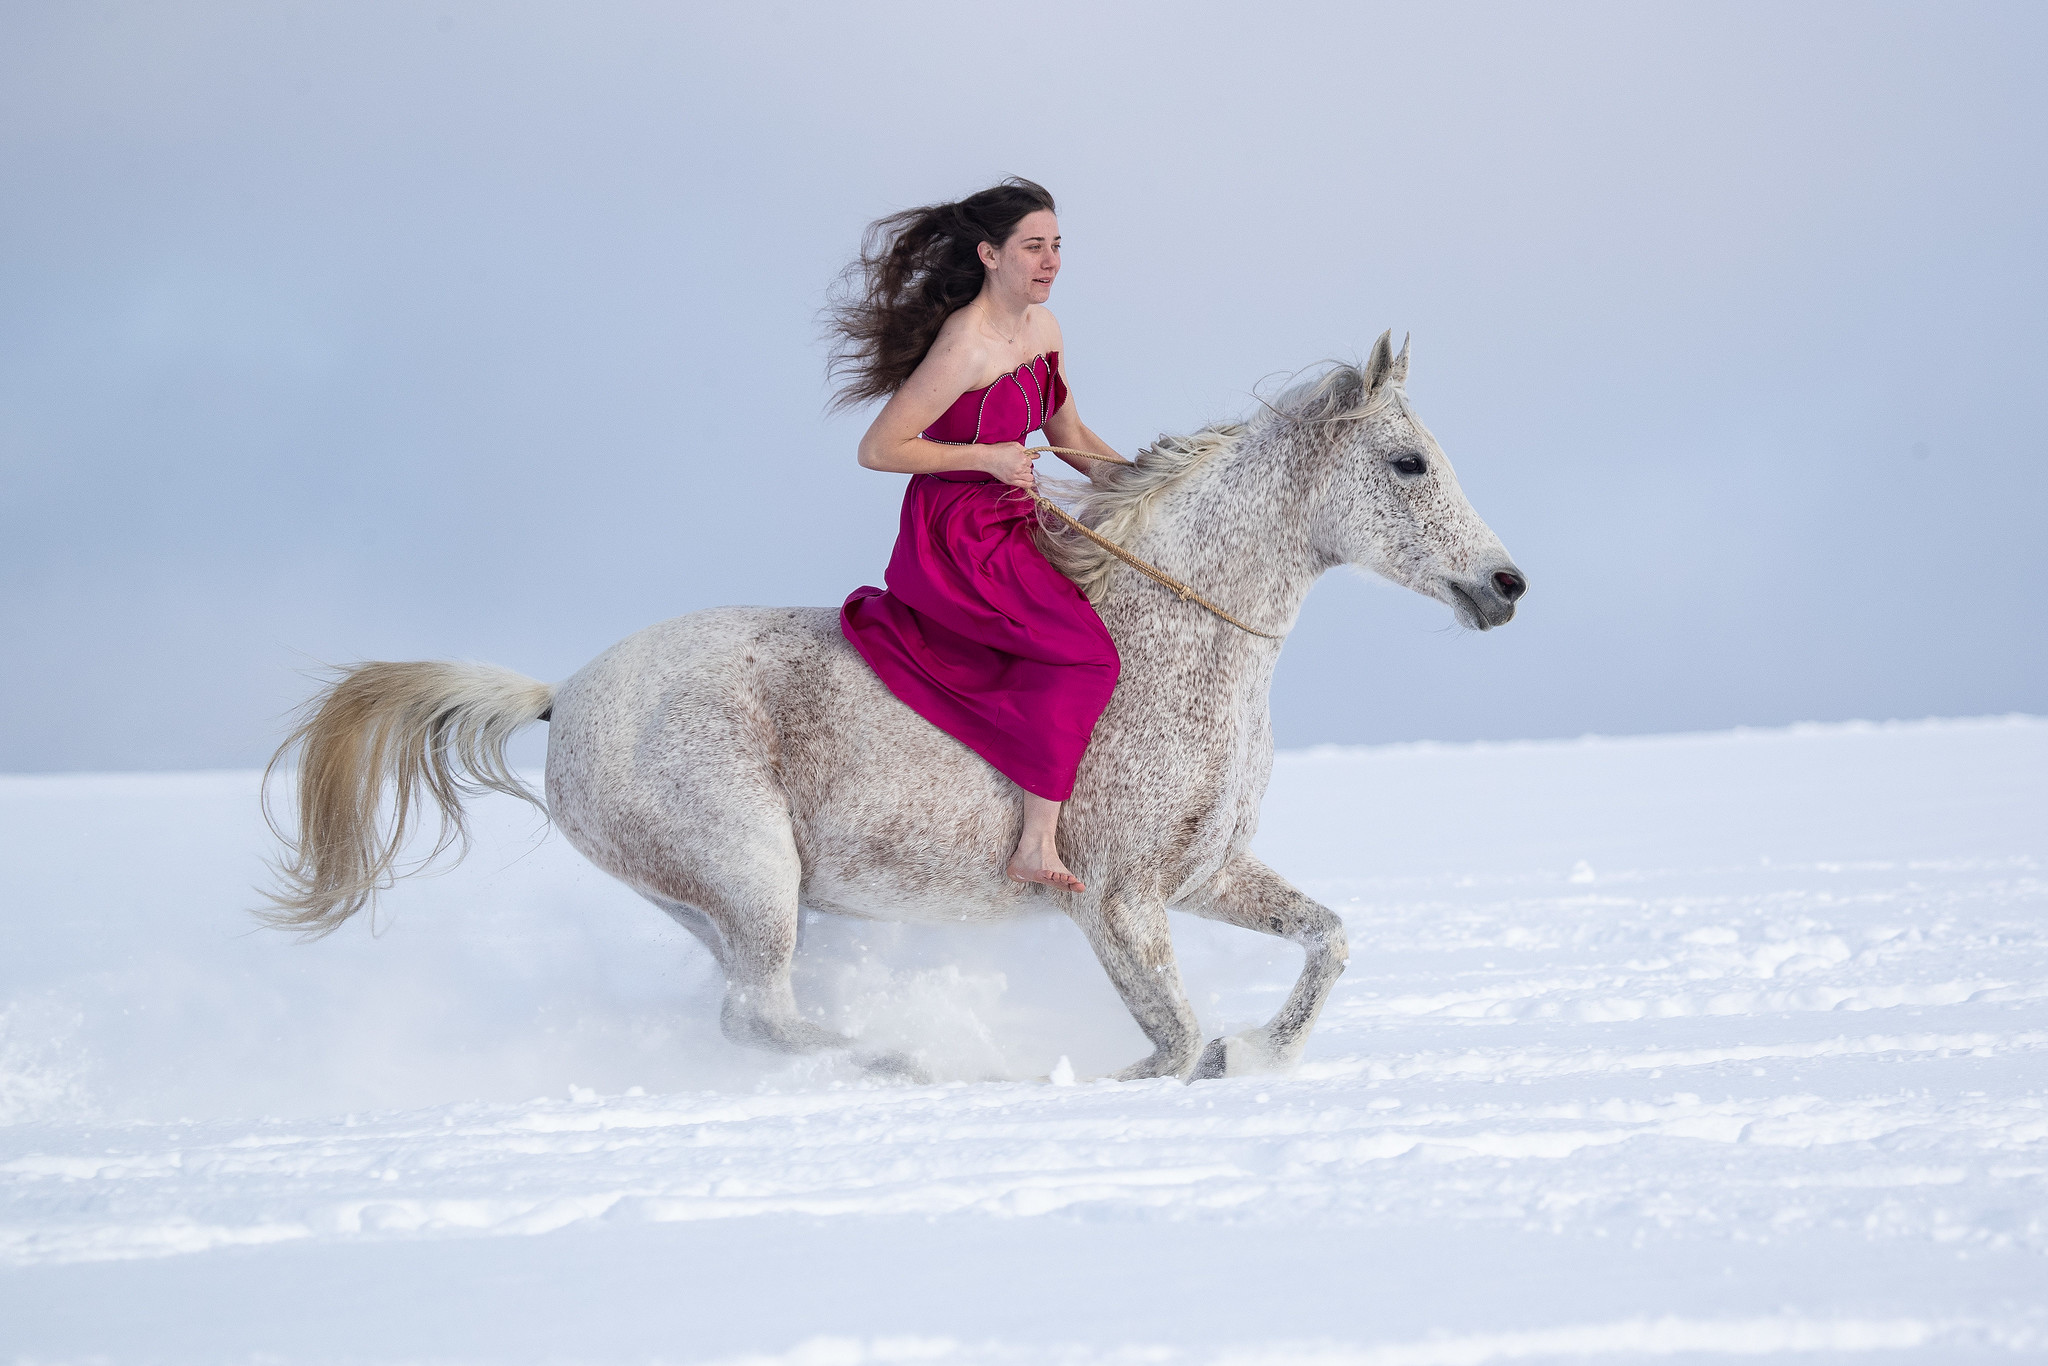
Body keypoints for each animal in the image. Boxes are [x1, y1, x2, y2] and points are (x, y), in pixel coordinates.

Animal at [264, 331, 1523, 1081]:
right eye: (1408, 463)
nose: (1504, 585)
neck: (1174, 651)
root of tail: (561, 697)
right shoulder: (1115, 898)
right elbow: (1167, 1035)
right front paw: (1156, 1071)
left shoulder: (1200, 875)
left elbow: (1325, 938)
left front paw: (1257, 1049)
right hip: (747, 872)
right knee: (758, 1014)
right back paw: (907, 1060)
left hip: (722, 901)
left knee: (747, 1011)